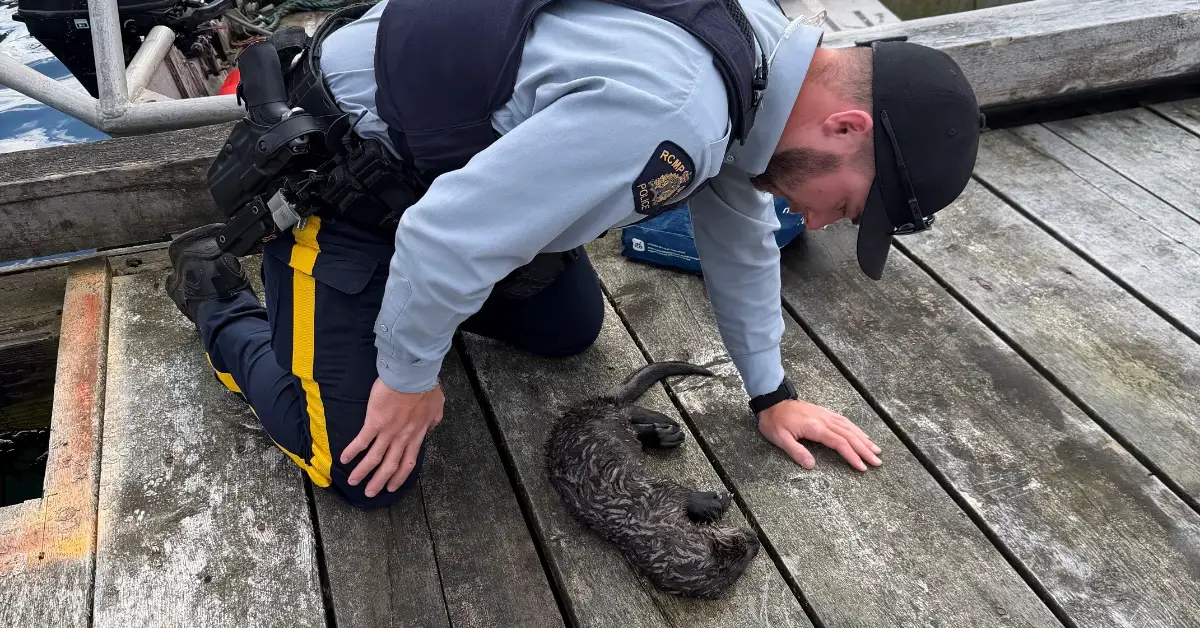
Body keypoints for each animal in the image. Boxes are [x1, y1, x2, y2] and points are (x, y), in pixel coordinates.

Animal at [545, 361, 760, 599]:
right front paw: (717, 501)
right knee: (629, 410)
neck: (647, 522)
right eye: (739, 546)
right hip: (606, 416)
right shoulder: (664, 492)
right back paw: (664, 426)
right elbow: (684, 493)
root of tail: (583, 408)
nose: (756, 541)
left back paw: (664, 432)